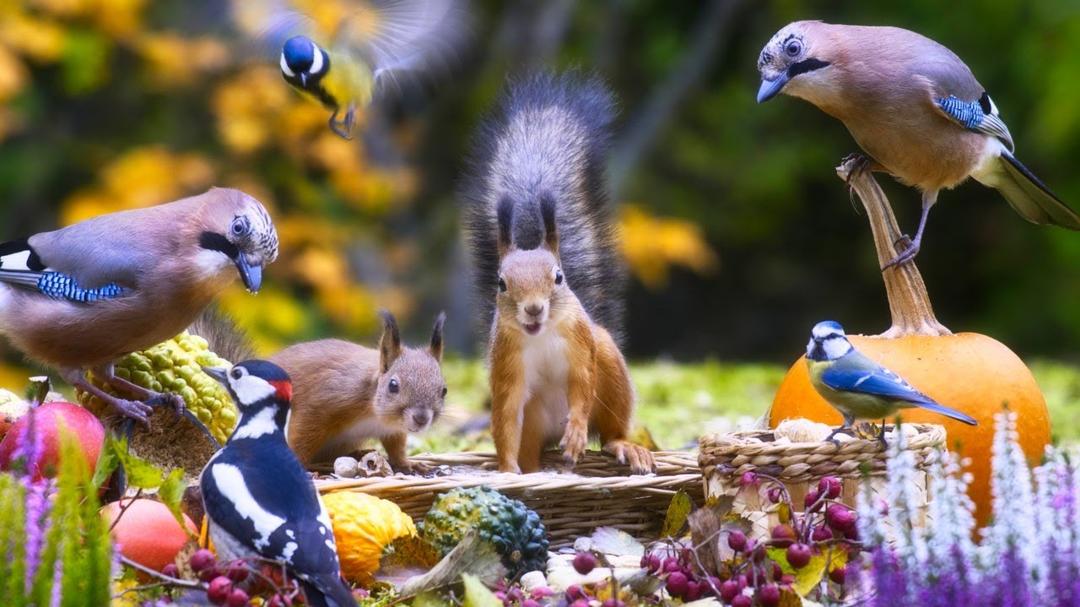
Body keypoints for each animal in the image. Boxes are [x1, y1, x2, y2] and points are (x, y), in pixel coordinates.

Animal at [268, 310, 448, 473]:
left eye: (444, 390)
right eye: (393, 385)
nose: (421, 419)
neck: (374, 413)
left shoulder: (392, 430)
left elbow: (396, 448)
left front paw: (407, 464)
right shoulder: (322, 403)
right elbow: (302, 438)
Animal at [461, 72, 654, 475]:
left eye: (559, 277)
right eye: (501, 283)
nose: (534, 308)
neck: (541, 336)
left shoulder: (581, 347)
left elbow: (582, 386)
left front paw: (578, 433)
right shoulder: (505, 366)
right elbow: (504, 416)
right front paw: (506, 470)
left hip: (609, 366)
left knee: (609, 430)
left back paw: (623, 446)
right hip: (533, 424)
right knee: (529, 447)